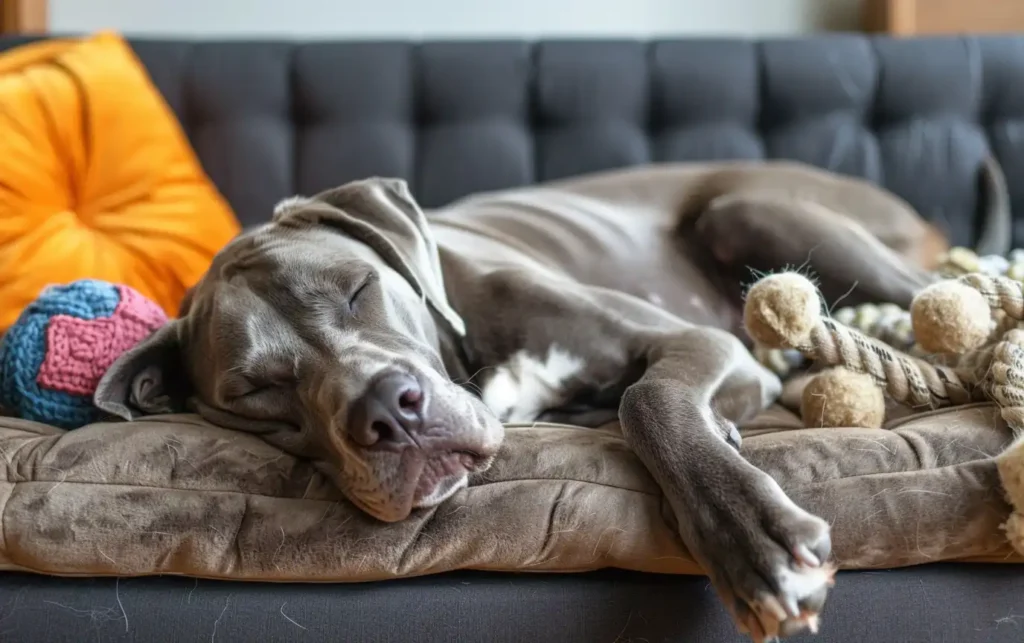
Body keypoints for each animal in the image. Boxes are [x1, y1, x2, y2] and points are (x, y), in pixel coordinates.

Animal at [92, 160, 1003, 643]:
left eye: (355, 290)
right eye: (255, 390)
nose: (391, 412)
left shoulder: (703, 345)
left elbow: (649, 399)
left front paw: (758, 542)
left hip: (751, 206)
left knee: (957, 291)